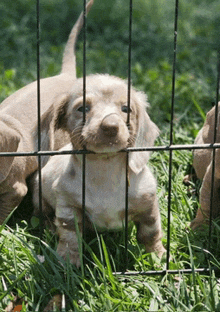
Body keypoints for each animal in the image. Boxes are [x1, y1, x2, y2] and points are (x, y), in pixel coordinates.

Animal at [33, 73, 165, 266]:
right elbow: (70, 237)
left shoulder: (148, 206)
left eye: (126, 108)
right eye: (82, 108)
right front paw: (68, 262)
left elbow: (151, 234)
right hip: (39, 195)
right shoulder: (67, 207)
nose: (110, 126)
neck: (105, 171)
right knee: (43, 214)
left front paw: (158, 257)